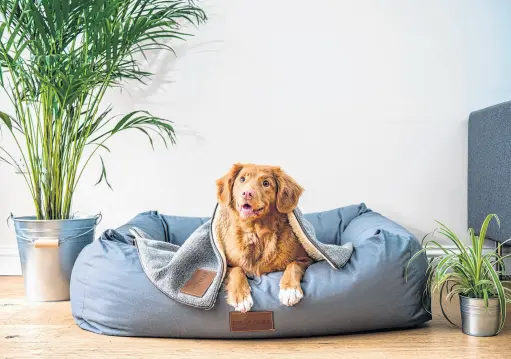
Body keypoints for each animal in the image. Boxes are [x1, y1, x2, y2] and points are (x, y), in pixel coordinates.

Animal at [215, 163, 314, 312]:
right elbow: (237, 270)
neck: (256, 232)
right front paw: (241, 297)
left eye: (266, 183)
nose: (247, 193)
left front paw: (290, 290)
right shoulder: (227, 265)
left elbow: (293, 265)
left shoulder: (306, 258)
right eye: (242, 179)